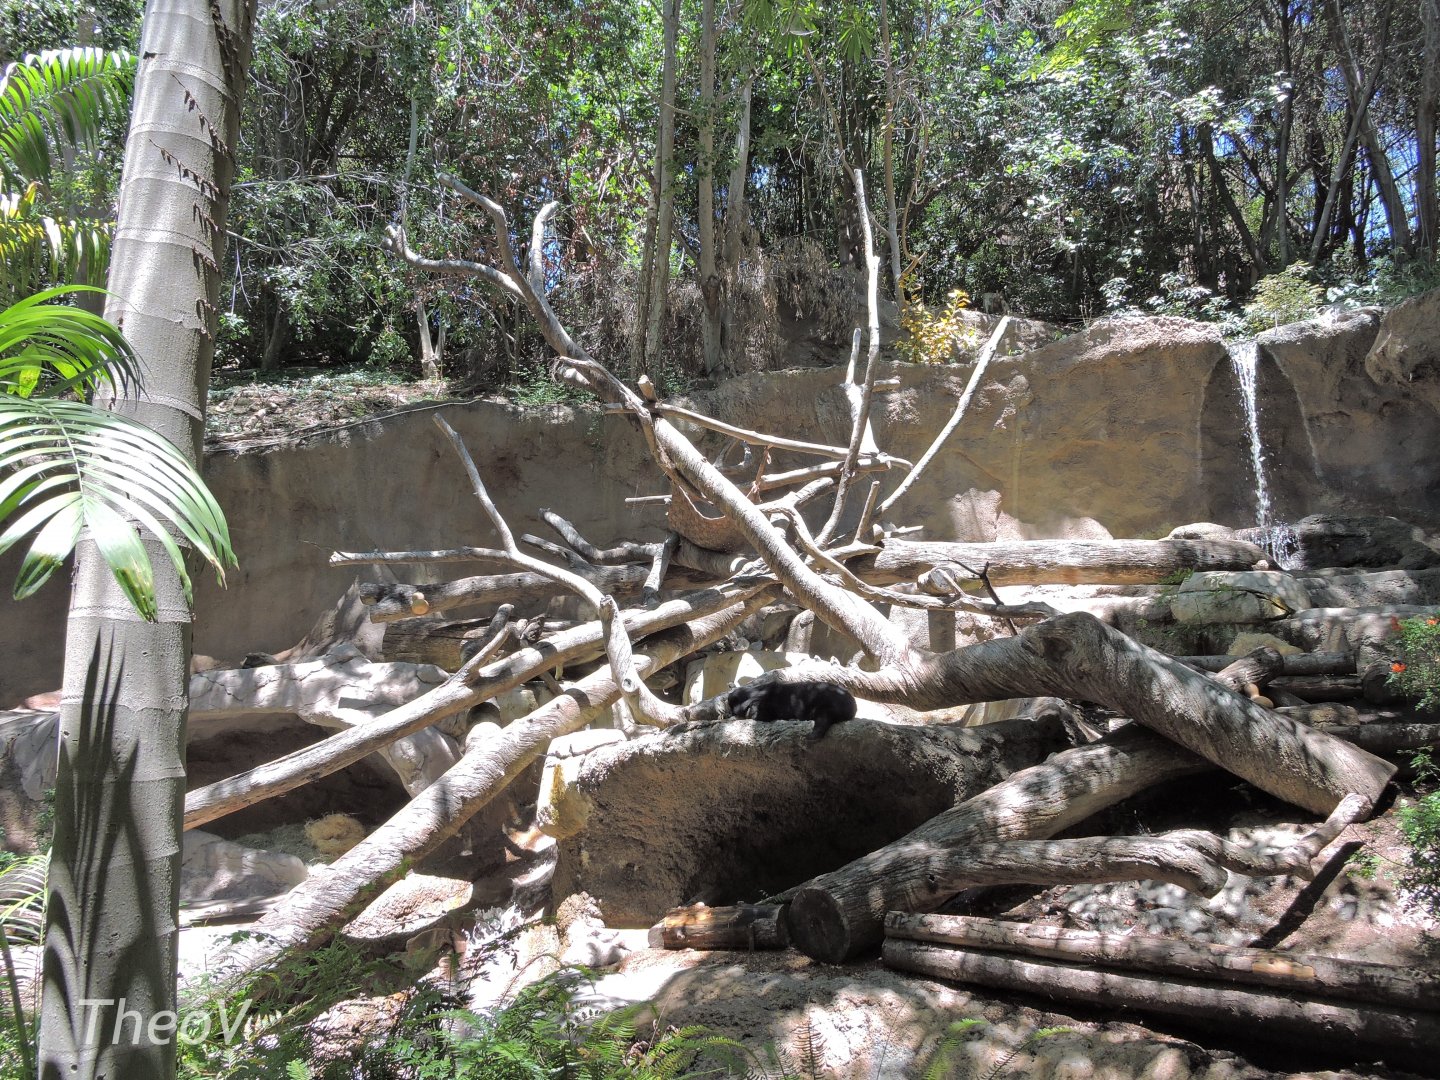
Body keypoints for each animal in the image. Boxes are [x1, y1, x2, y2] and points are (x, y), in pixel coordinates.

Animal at [724, 673, 857, 740]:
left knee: (823, 720)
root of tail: (853, 707)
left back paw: (810, 736)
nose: (750, 711)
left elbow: (763, 713)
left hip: (826, 707)